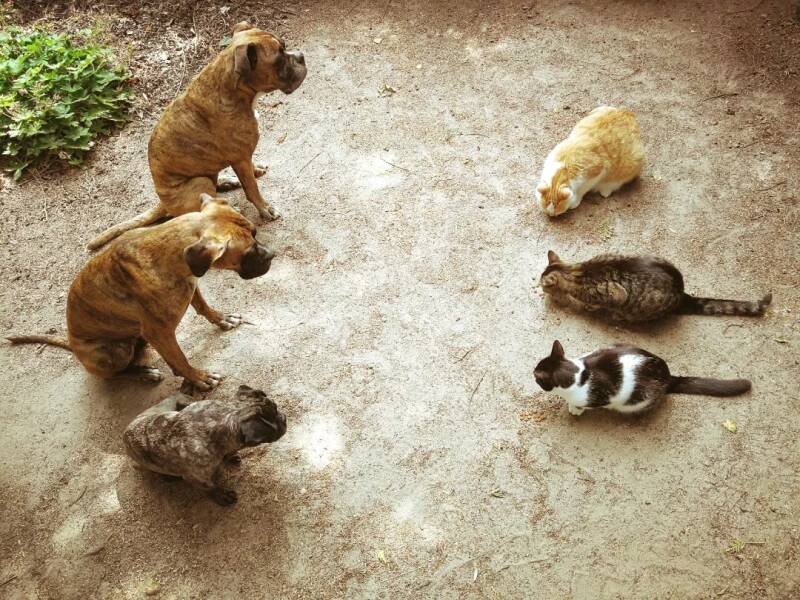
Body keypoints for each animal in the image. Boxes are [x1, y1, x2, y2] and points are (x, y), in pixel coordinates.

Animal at [8, 195, 274, 391]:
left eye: (255, 232)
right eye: (248, 252)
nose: (272, 255)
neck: (166, 251)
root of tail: (72, 344)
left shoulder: (190, 286)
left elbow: (202, 306)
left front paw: (221, 319)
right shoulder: (160, 333)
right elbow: (179, 359)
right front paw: (198, 377)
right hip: (113, 351)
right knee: (114, 375)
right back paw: (142, 373)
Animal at [87, 22, 307, 250]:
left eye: (285, 46)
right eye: (279, 57)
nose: (301, 56)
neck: (233, 91)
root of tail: (163, 202)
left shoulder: (243, 159)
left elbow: (250, 174)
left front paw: (255, 171)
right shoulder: (240, 158)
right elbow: (252, 189)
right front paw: (265, 209)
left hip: (208, 173)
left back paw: (227, 181)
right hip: (199, 181)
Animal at [124, 385, 287, 505]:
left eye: (275, 407)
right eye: (269, 434)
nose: (283, 419)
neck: (226, 418)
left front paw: (231, 456)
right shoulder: (199, 479)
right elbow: (211, 488)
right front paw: (222, 496)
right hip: (139, 465)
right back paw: (167, 476)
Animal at [533, 340, 751, 416]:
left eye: (537, 378)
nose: (532, 371)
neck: (579, 373)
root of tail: (668, 375)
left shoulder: (601, 397)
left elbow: (583, 404)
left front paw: (574, 409)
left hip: (640, 399)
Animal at [540, 251, 772, 322]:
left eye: (543, 285)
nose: (538, 287)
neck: (575, 272)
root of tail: (681, 292)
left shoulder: (615, 293)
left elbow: (601, 302)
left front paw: (592, 308)